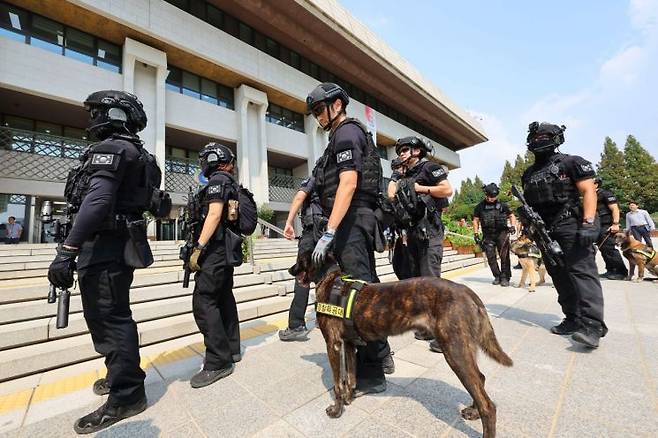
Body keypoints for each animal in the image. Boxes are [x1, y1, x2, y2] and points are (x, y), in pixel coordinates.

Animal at [290, 252, 512, 438]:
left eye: (300, 257)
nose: (290, 270)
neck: (330, 278)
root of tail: (467, 292)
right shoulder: (350, 345)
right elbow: (350, 379)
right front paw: (349, 399)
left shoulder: (333, 345)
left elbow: (338, 384)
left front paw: (337, 410)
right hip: (463, 349)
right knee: (480, 379)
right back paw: (473, 411)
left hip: (454, 351)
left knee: (488, 405)